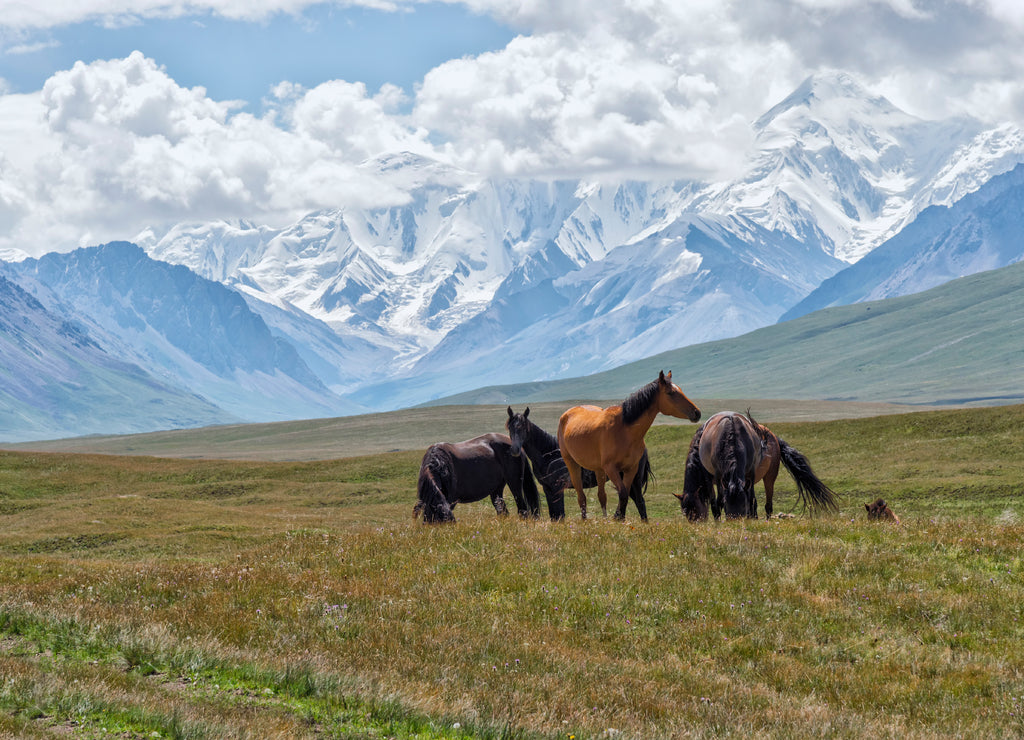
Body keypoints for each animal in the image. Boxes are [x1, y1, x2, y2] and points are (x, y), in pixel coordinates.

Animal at [505, 406, 653, 521]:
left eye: (523, 427)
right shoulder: (548, 489)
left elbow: (560, 515)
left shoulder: (557, 489)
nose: (515, 450)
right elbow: (554, 516)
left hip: (634, 479)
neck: (548, 454)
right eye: (510, 428)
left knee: (640, 502)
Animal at [557, 370, 700, 519]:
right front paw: (618, 519)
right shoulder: (611, 469)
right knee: (582, 497)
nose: (697, 413)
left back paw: (605, 520)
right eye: (670, 393)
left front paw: (620, 520)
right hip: (572, 464)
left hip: (598, 469)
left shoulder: (630, 469)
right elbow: (623, 494)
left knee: (602, 496)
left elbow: (624, 497)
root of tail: (567, 414)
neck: (624, 430)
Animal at [678, 410, 839, 520]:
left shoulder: (748, 473)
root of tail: (772, 435)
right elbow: (717, 502)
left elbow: (749, 501)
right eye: (686, 513)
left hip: (770, 477)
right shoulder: (717, 478)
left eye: (694, 510)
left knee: (767, 504)